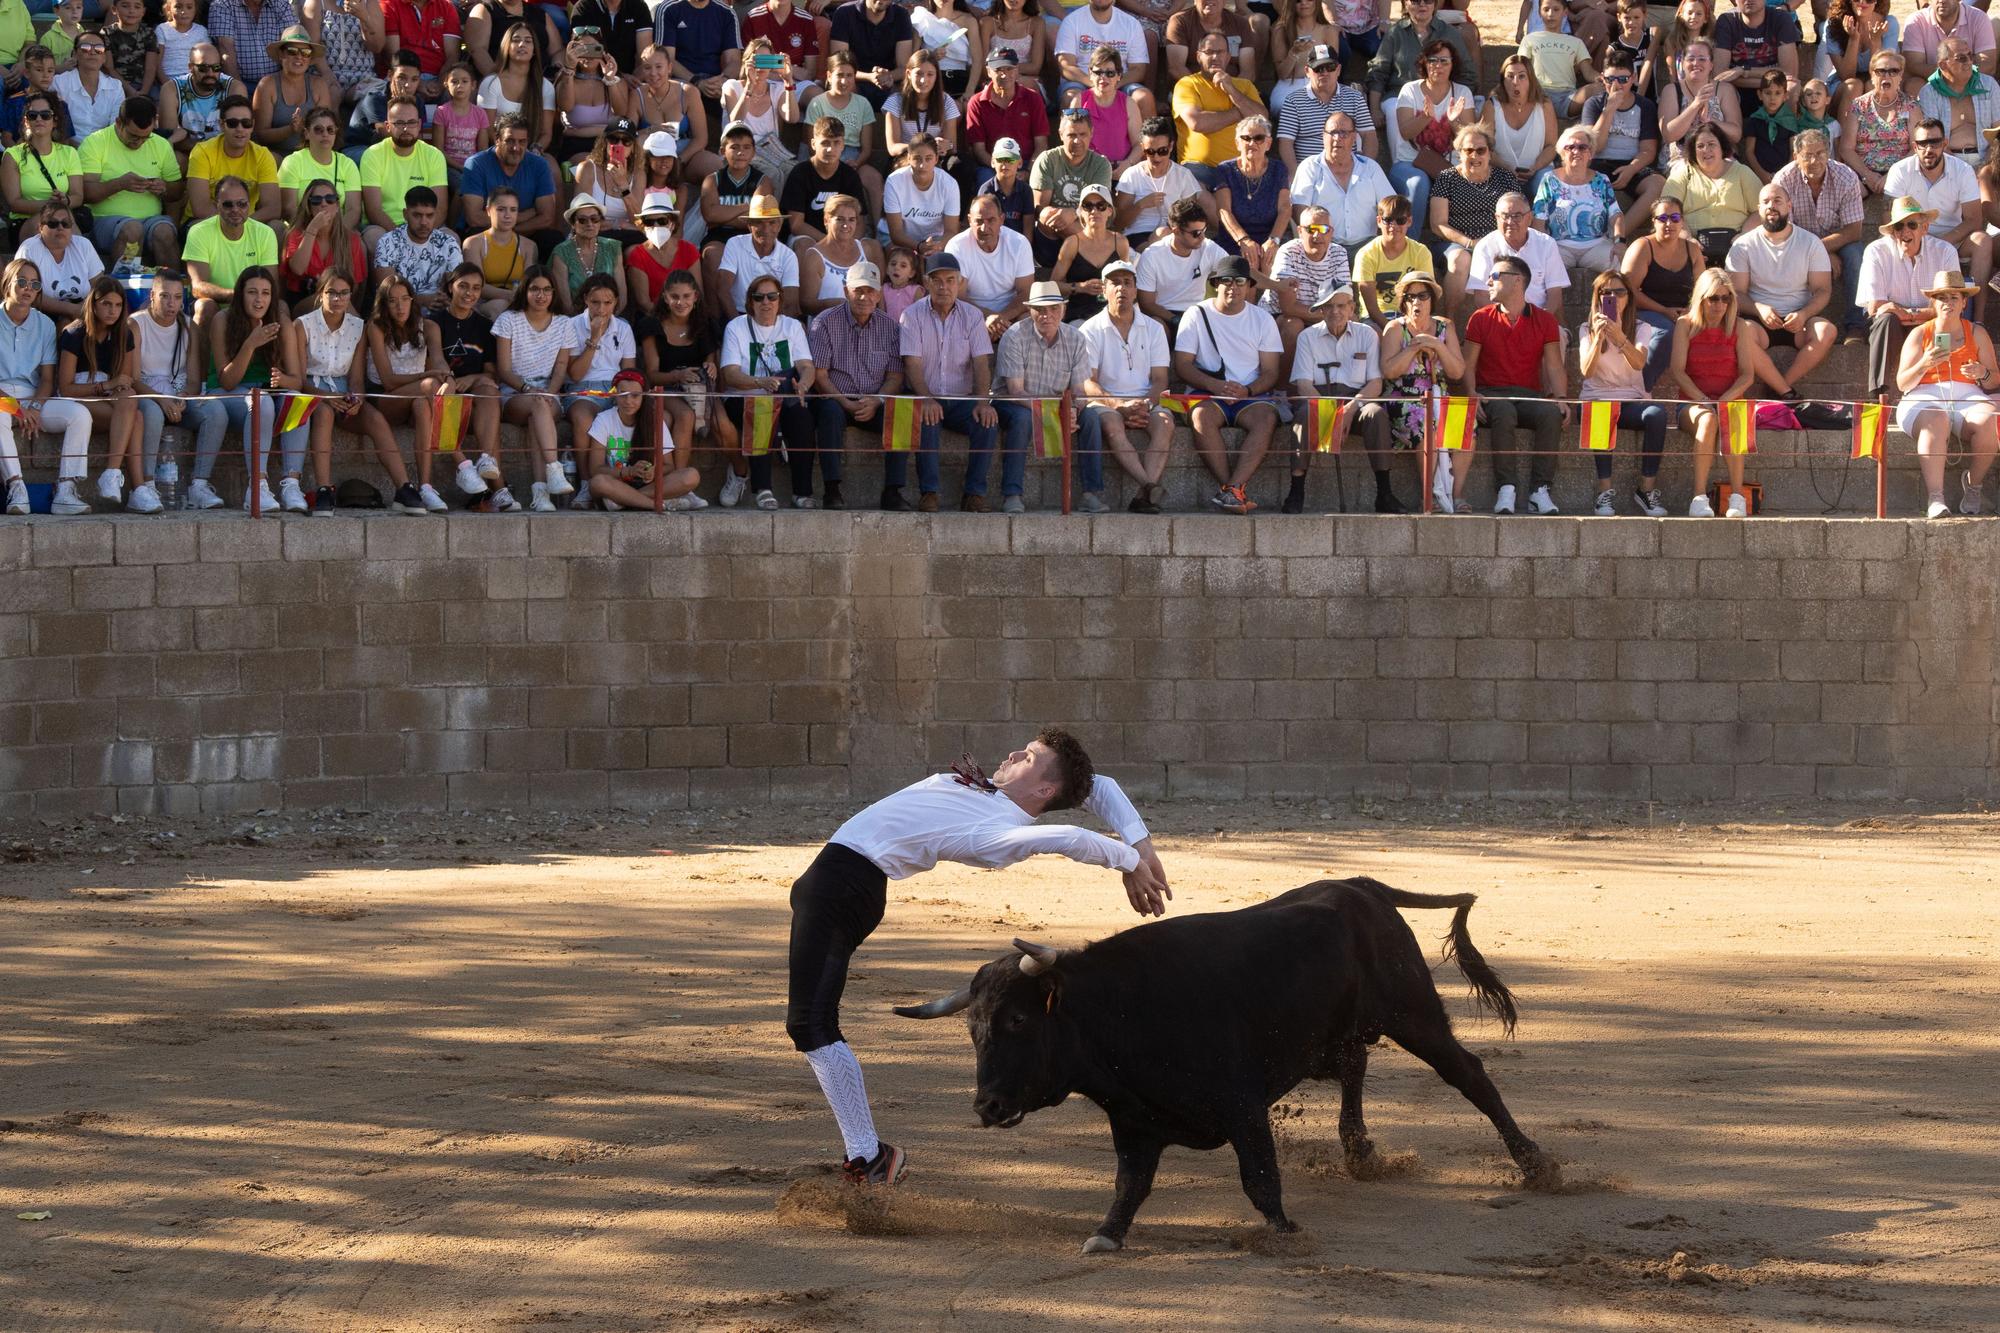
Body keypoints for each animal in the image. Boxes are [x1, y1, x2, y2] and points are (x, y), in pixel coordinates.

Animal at [892, 876, 1560, 1248]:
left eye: (1018, 1021)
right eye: (972, 1029)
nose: (987, 1106)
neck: (1120, 1013)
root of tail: (1363, 886)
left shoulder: (1242, 1106)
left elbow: (1259, 1177)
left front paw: (1287, 1234)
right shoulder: (1133, 1122)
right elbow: (1130, 1185)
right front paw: (1106, 1235)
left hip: (1412, 1012)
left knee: (1468, 1074)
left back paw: (1538, 1167)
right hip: (1343, 1034)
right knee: (1354, 1068)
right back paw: (1359, 1152)